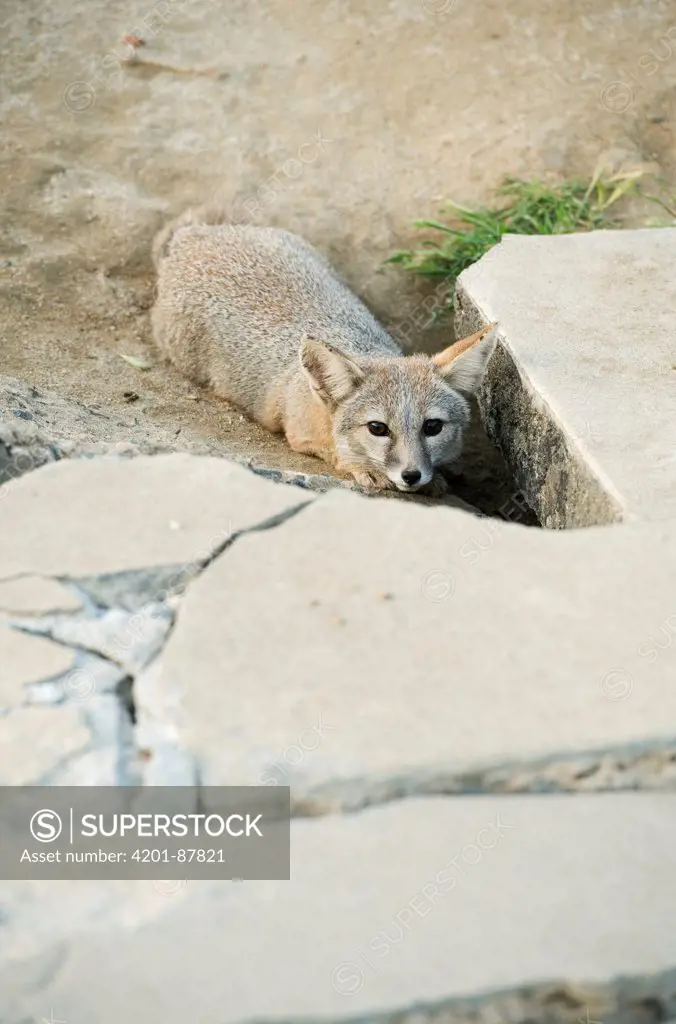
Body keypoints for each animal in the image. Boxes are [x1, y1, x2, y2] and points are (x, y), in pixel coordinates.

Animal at [153, 206, 495, 491]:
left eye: (432, 427)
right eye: (378, 428)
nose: (411, 475)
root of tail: (194, 236)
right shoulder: (295, 431)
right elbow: (329, 450)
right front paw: (362, 467)